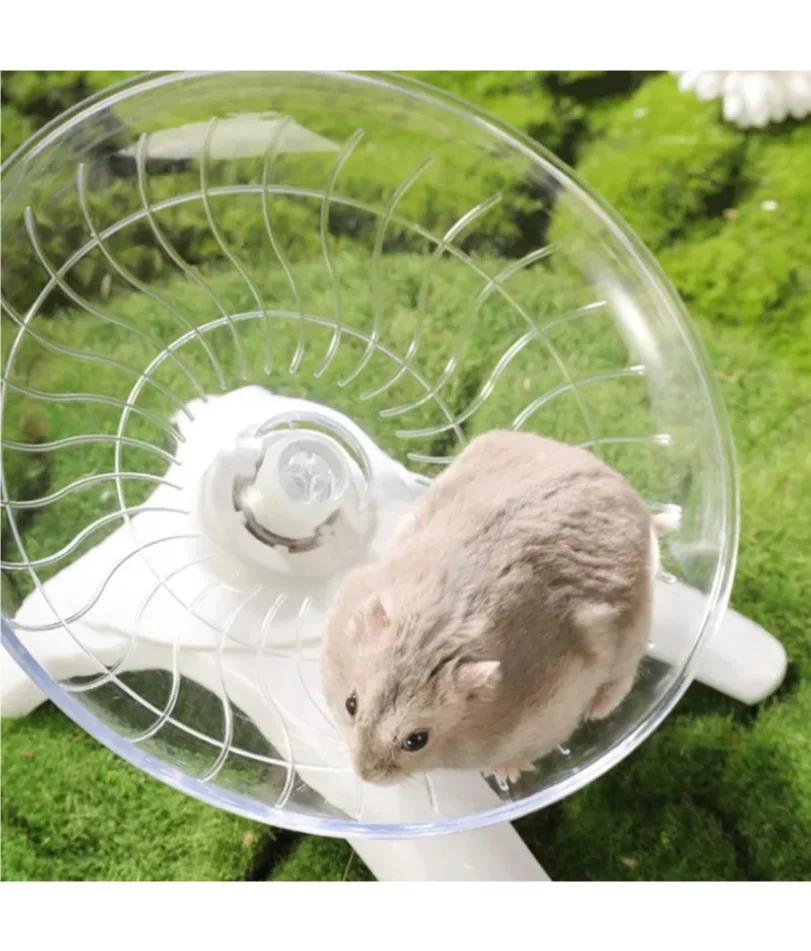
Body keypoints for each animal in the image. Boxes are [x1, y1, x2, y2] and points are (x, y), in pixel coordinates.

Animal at [322, 430, 665, 786]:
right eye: (350, 704)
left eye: (416, 740)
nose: (364, 776)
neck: (432, 637)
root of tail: (636, 501)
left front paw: (508, 775)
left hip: (633, 627)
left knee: (623, 678)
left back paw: (596, 710)